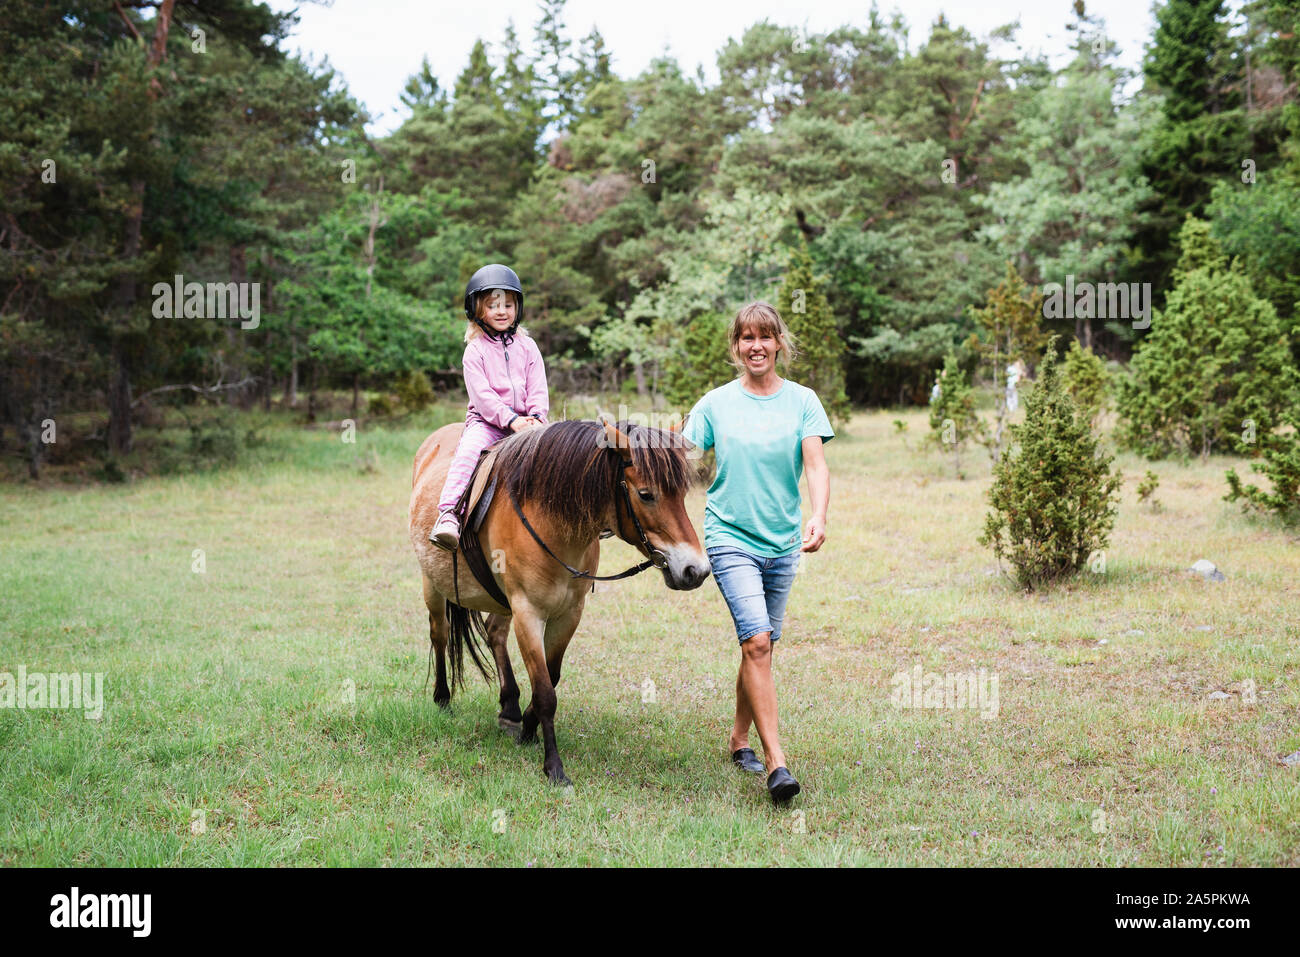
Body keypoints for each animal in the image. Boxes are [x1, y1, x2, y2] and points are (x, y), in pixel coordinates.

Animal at [408, 416, 707, 785]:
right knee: (440, 634)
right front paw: (553, 766)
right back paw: (443, 698)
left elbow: (551, 678)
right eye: (646, 495)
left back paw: (509, 707)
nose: (696, 570)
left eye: (682, 494)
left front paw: (526, 727)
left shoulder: (569, 614)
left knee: (494, 633)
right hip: (432, 584)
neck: (552, 523)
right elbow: (546, 692)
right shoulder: (528, 613)